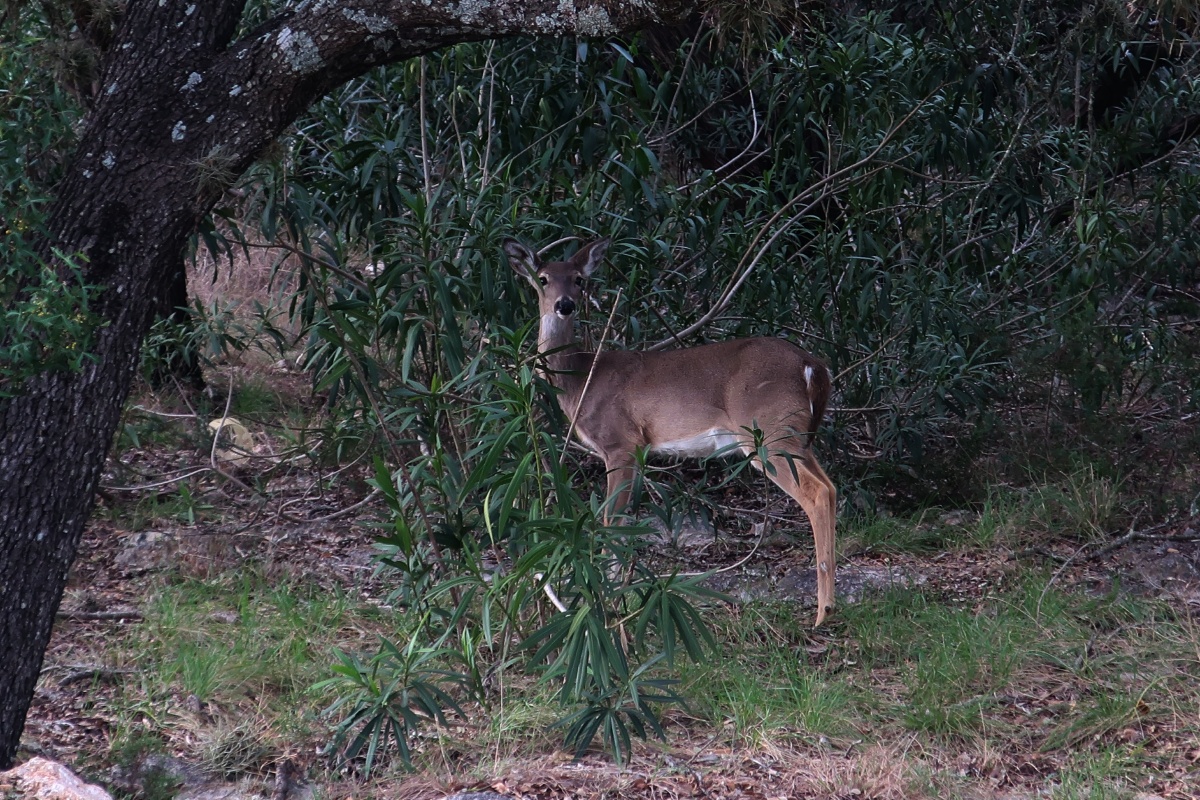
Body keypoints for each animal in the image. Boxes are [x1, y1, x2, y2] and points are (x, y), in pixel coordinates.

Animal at [501, 236, 840, 623]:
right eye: (542, 279)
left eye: (578, 279)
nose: (565, 305)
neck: (582, 380)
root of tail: (812, 365)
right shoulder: (639, 449)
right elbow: (624, 522)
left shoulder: (620, 441)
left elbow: (609, 519)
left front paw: (605, 599)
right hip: (796, 435)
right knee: (830, 486)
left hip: (767, 431)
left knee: (817, 492)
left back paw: (823, 611)